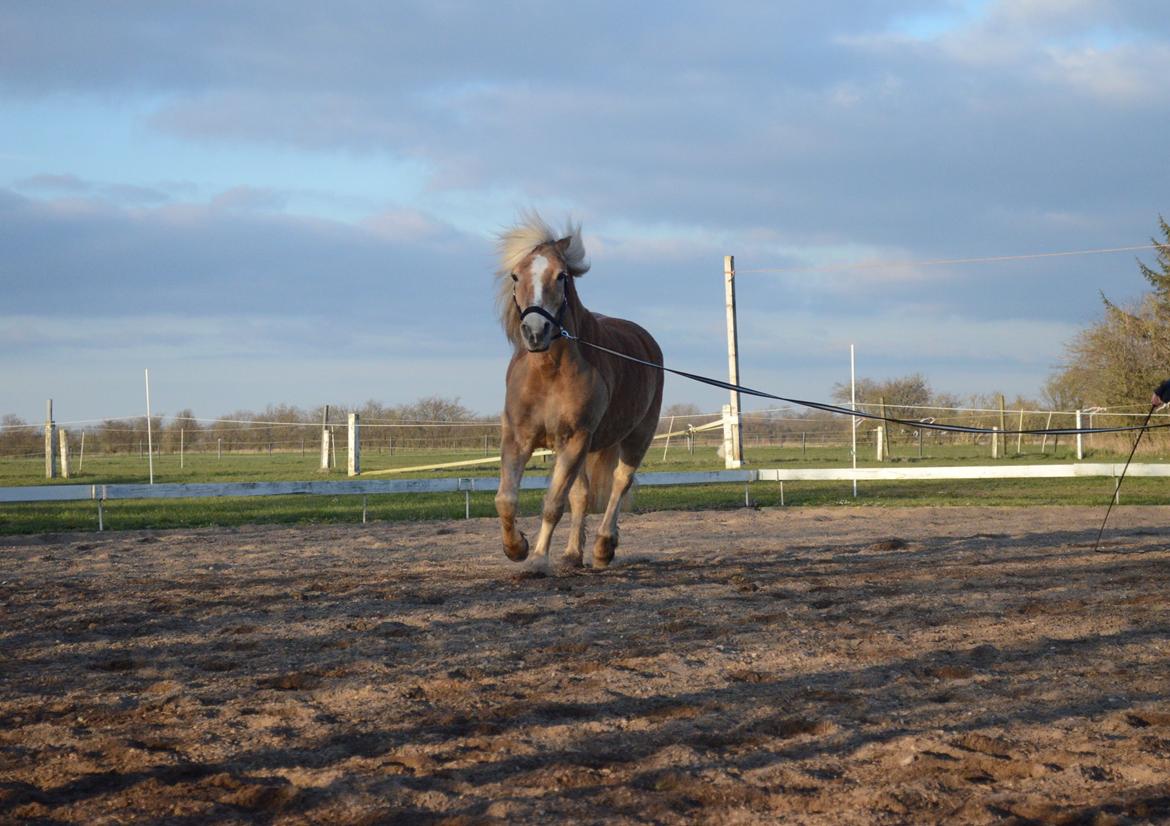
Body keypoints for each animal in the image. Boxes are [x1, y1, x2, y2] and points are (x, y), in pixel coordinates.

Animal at [489, 214, 664, 566]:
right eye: (515, 275)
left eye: (561, 276)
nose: (535, 331)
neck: (548, 372)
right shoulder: (518, 437)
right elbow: (506, 499)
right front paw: (516, 548)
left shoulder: (575, 439)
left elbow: (553, 504)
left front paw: (537, 559)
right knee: (582, 494)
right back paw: (572, 554)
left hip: (637, 437)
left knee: (619, 484)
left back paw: (603, 546)